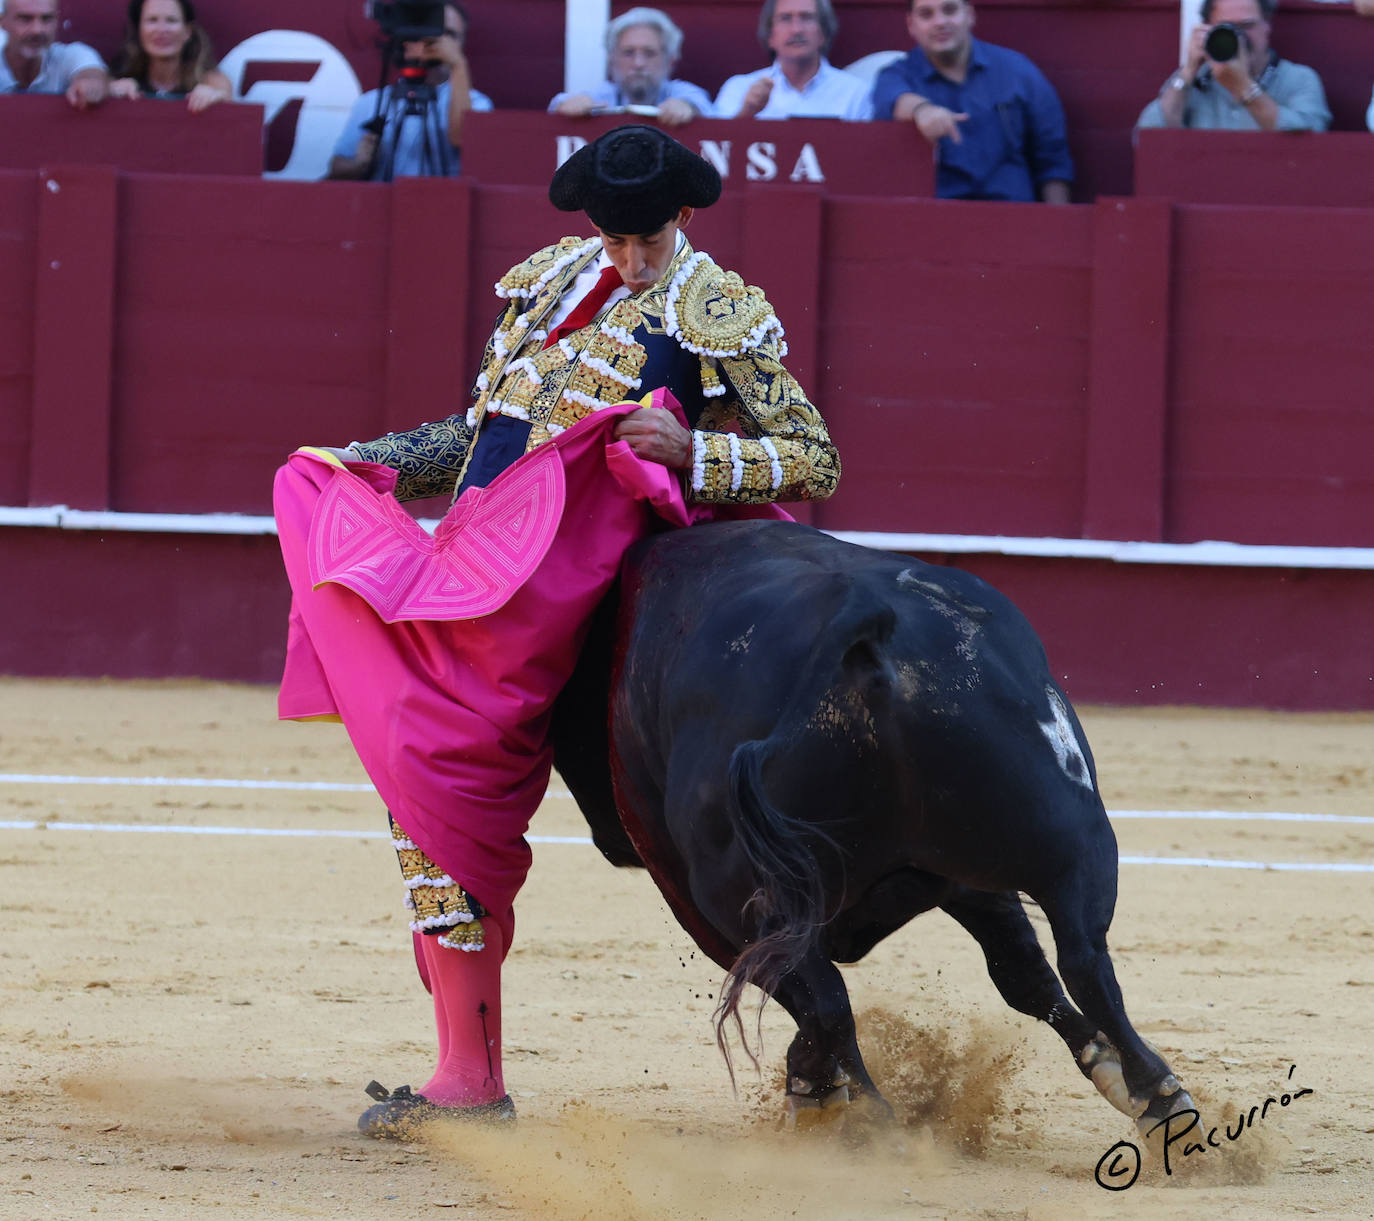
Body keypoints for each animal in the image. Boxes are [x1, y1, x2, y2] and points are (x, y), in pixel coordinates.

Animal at [546, 516, 1192, 1131]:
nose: (610, 840)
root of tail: (865, 625)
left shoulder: (693, 903)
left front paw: (812, 1083)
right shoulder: (963, 879)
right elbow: (1021, 971)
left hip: (729, 898)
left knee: (830, 998)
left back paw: (862, 1118)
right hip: (1069, 832)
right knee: (1083, 958)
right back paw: (1159, 1097)